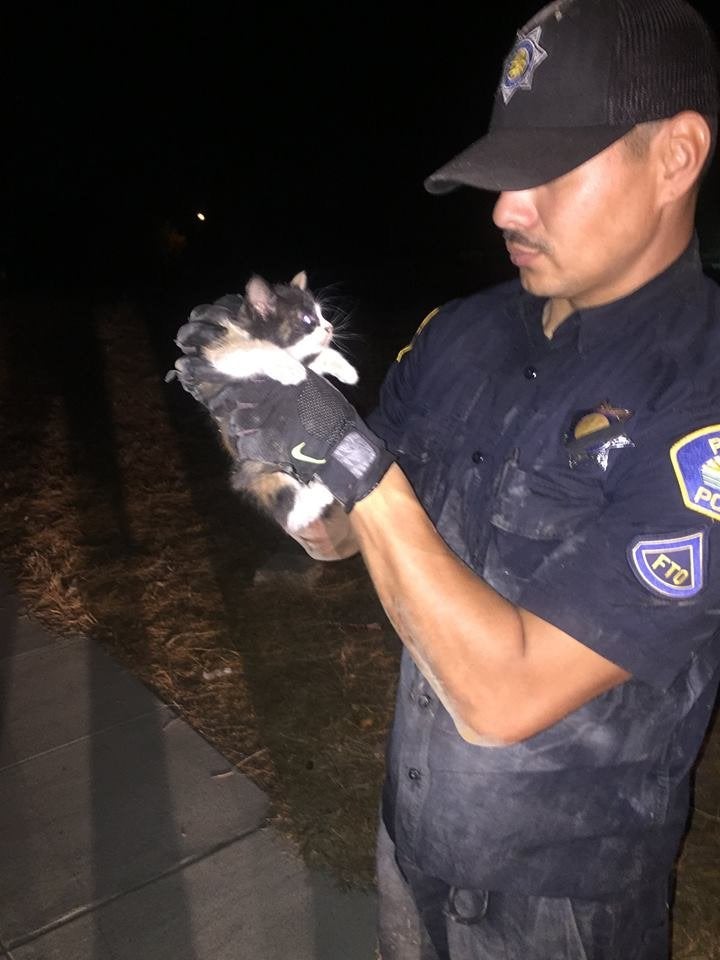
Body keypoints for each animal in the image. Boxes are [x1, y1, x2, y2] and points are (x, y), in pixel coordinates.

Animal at [183, 272, 360, 532]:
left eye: (321, 314)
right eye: (307, 319)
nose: (330, 327)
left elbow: (317, 358)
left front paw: (345, 368)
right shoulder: (217, 352)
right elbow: (252, 350)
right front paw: (289, 367)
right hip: (255, 464)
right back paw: (319, 494)